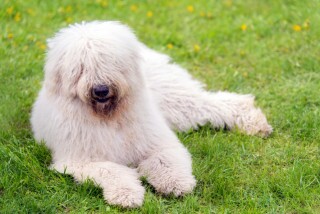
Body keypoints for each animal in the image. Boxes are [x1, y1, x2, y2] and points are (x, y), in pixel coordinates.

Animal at [30, 20, 272, 208]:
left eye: (109, 62)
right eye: (80, 68)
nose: (101, 90)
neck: (109, 118)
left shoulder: (158, 142)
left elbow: (165, 159)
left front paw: (176, 183)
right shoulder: (79, 160)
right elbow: (111, 171)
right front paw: (127, 195)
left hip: (178, 103)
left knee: (219, 103)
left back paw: (256, 123)